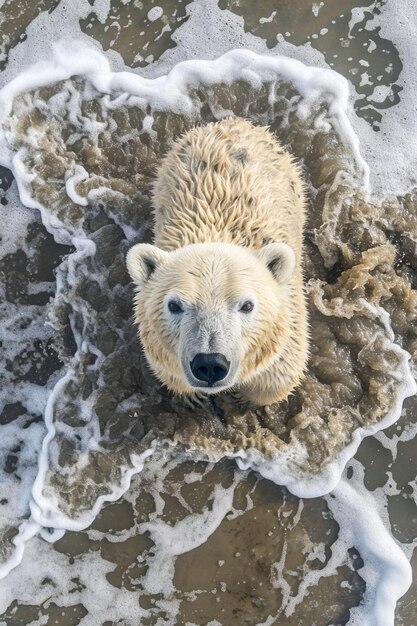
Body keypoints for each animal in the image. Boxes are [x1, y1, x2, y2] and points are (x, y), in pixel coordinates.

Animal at [127, 117, 308, 404]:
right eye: (174, 305)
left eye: (247, 305)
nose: (210, 363)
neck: (217, 232)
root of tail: (231, 122)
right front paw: (194, 398)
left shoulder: (288, 334)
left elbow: (276, 379)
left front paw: (244, 398)